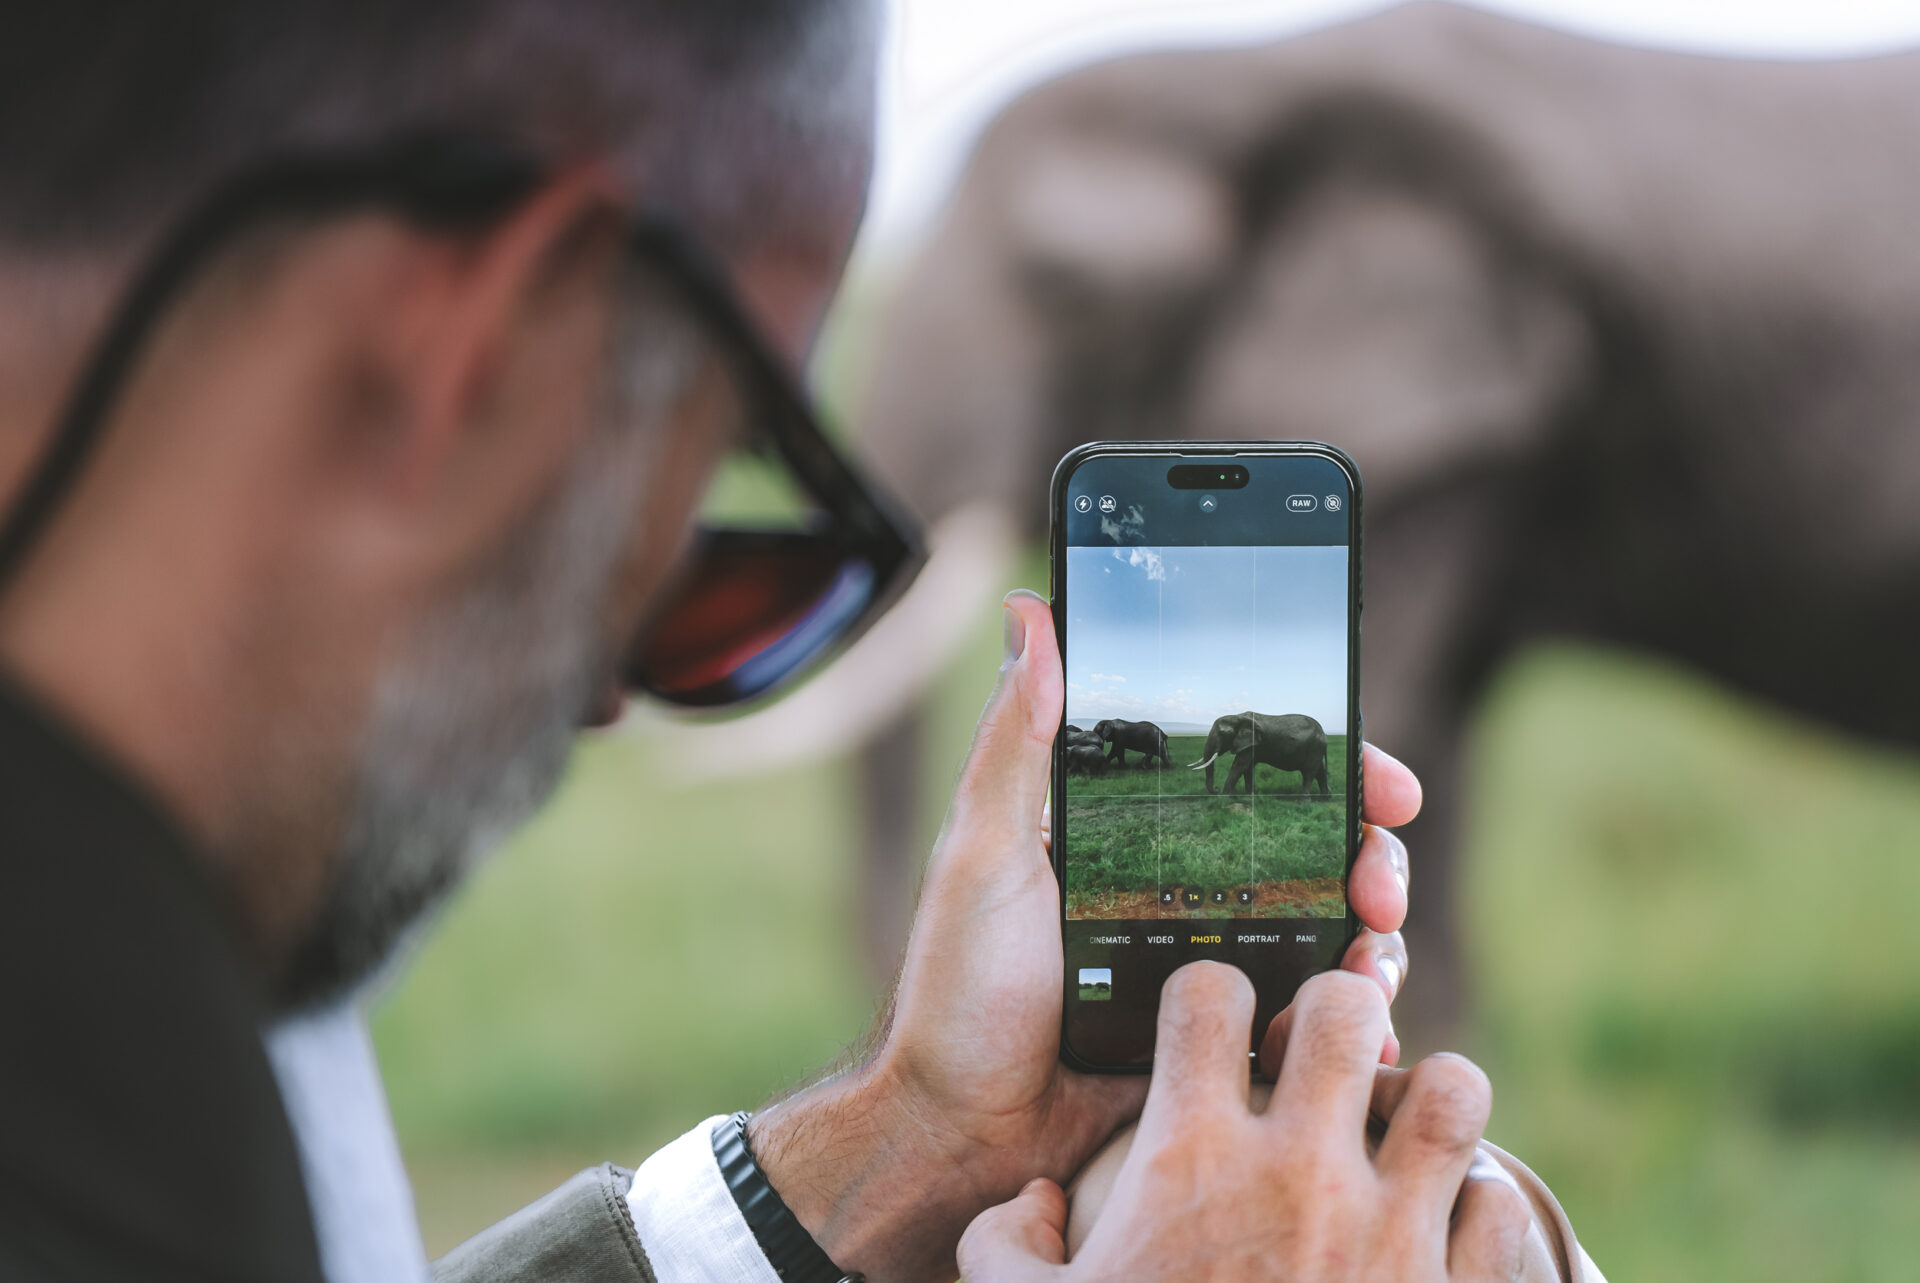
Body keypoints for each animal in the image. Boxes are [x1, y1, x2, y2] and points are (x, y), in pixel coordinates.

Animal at [1182, 710, 1336, 802]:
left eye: (1224, 734)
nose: (1216, 789)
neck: (1238, 716)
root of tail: (1323, 732)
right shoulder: (1251, 745)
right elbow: (1248, 768)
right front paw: (1248, 798)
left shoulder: (1251, 743)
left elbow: (1239, 765)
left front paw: (1223, 799)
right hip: (1316, 749)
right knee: (1319, 771)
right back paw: (1325, 798)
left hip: (1315, 747)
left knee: (1309, 772)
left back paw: (1304, 802)